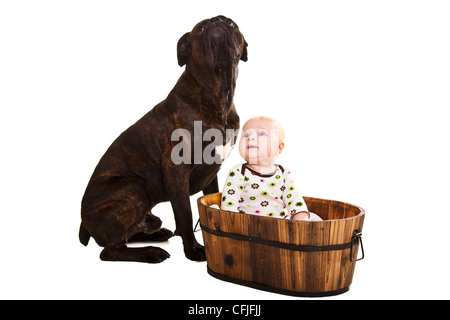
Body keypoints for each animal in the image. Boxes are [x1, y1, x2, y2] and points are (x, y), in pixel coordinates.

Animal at [77, 15, 246, 262]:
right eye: (200, 29)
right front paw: (193, 250)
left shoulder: (211, 171)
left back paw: (157, 234)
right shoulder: (176, 170)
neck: (216, 91)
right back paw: (150, 252)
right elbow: (184, 214)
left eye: (231, 23)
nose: (217, 22)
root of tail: (83, 222)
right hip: (134, 186)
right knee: (110, 250)